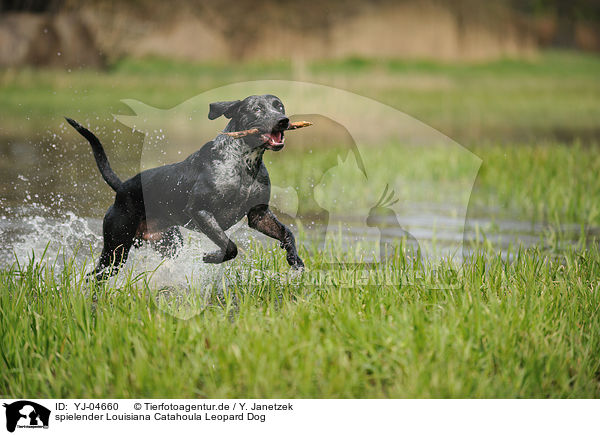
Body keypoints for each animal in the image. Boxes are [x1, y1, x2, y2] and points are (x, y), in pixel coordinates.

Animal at [67, 94, 304, 282]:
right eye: (257, 109)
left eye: (279, 106)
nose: (283, 120)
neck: (244, 163)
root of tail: (122, 188)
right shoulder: (200, 211)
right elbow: (230, 247)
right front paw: (212, 257)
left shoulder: (258, 215)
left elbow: (287, 233)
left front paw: (295, 259)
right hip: (116, 249)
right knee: (93, 276)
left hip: (169, 243)